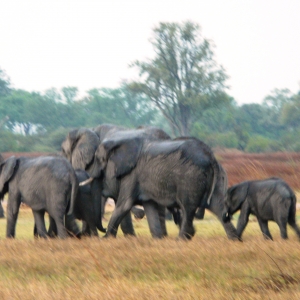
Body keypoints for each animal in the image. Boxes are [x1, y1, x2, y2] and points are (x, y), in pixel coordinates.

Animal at [85, 135, 239, 240]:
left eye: (98, 159)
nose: (102, 229)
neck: (120, 141)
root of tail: (210, 157)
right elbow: (150, 207)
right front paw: (158, 239)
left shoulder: (132, 175)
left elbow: (124, 205)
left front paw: (105, 240)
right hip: (214, 179)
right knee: (218, 206)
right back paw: (234, 239)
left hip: (190, 178)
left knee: (188, 207)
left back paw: (181, 240)